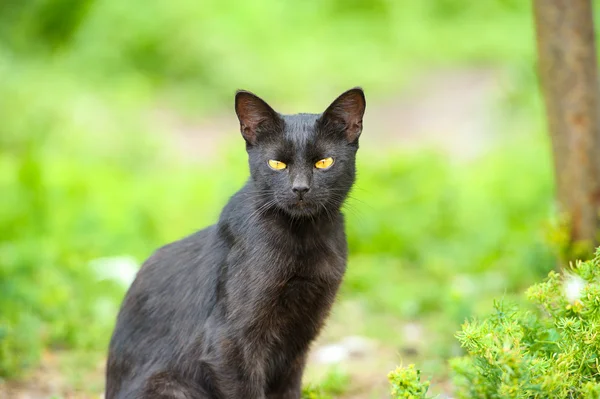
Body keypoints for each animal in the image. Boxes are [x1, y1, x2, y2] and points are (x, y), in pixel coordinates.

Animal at [104, 88, 366, 399]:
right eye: (276, 164)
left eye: (324, 162)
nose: (300, 188)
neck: (304, 239)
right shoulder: (229, 342)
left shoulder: (299, 339)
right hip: (169, 384)